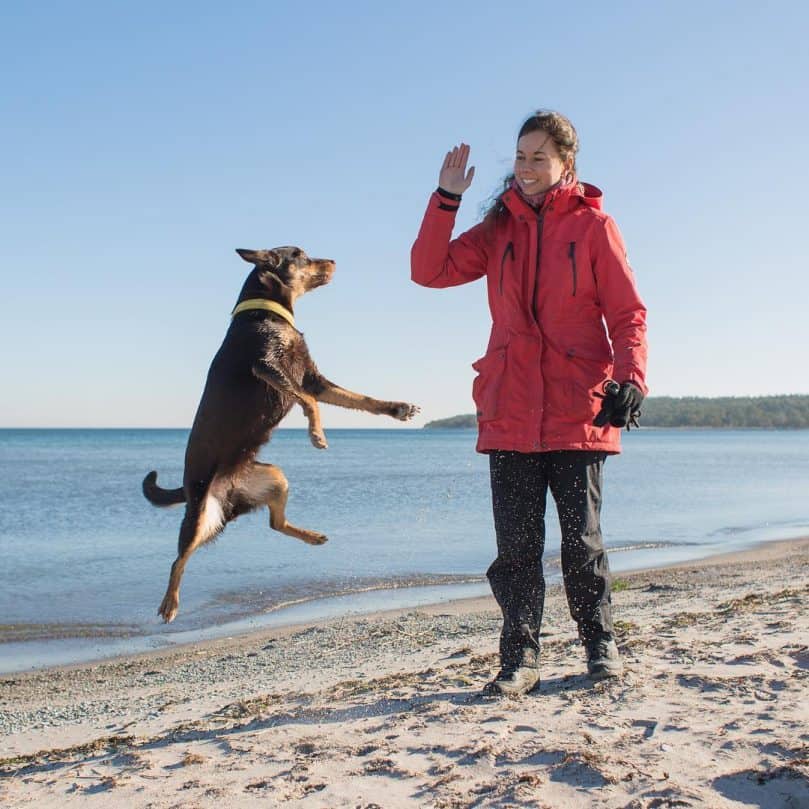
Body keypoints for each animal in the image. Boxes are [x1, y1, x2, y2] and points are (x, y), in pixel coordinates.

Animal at [142, 249, 416, 620]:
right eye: (302, 255)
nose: (333, 261)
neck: (268, 310)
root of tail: (228, 490)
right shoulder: (268, 365)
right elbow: (310, 401)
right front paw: (316, 433)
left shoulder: (313, 378)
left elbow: (360, 399)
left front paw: (397, 408)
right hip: (202, 513)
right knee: (178, 559)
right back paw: (169, 602)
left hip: (273, 477)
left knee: (275, 523)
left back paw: (311, 536)